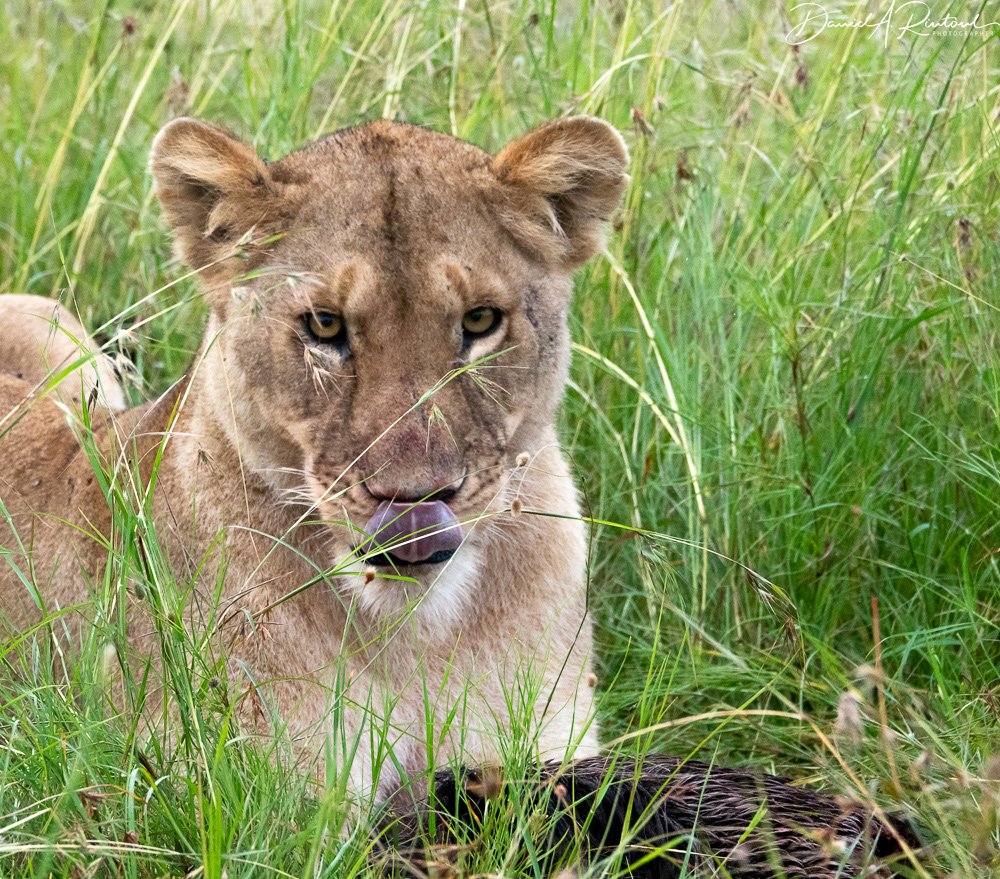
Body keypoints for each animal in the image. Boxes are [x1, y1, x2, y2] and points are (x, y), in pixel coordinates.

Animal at [0, 115, 629, 804]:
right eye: (325, 325)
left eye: (481, 320)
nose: (413, 502)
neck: (416, 638)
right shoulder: (256, 796)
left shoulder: (552, 751)